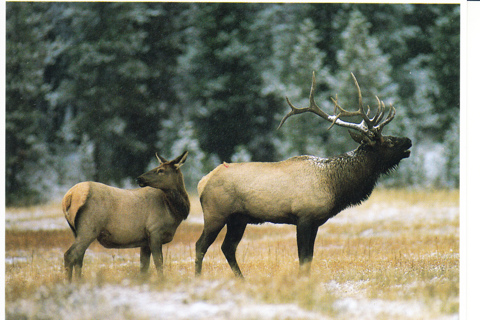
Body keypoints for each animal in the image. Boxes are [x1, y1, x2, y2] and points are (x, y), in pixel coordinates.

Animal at [63, 151, 189, 282]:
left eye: (161, 170)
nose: (139, 178)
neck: (173, 211)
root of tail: (69, 197)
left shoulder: (145, 241)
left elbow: (144, 268)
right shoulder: (155, 231)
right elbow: (159, 263)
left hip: (76, 231)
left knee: (79, 258)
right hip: (89, 228)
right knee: (70, 255)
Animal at [195, 72, 412, 278]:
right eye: (387, 141)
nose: (408, 140)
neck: (335, 186)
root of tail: (202, 182)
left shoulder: (315, 222)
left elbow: (309, 257)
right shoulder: (304, 217)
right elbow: (303, 257)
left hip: (238, 219)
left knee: (228, 248)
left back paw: (242, 279)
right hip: (216, 214)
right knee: (201, 245)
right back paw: (198, 278)